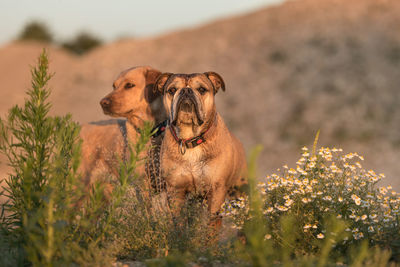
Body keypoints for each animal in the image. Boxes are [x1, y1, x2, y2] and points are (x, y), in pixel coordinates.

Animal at [155, 71, 247, 216]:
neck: (190, 138)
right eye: (172, 90)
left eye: (202, 89)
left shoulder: (216, 190)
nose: (186, 91)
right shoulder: (175, 190)